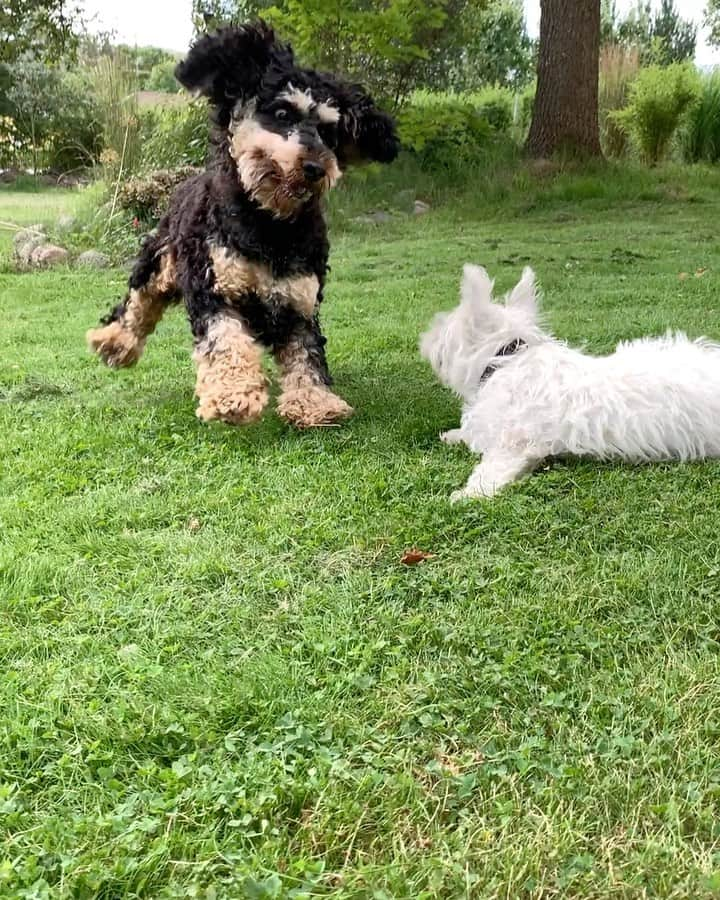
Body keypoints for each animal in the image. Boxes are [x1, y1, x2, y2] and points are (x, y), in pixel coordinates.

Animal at [88, 21, 400, 428]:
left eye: (330, 133)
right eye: (282, 113)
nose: (316, 168)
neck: (269, 225)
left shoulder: (298, 302)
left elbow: (306, 352)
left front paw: (314, 401)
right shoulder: (214, 289)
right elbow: (227, 342)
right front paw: (233, 394)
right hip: (159, 261)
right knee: (139, 302)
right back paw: (116, 342)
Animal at [422, 264, 720, 502]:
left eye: (445, 327)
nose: (425, 338)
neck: (507, 359)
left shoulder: (516, 444)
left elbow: (491, 469)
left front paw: (466, 494)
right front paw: (452, 435)